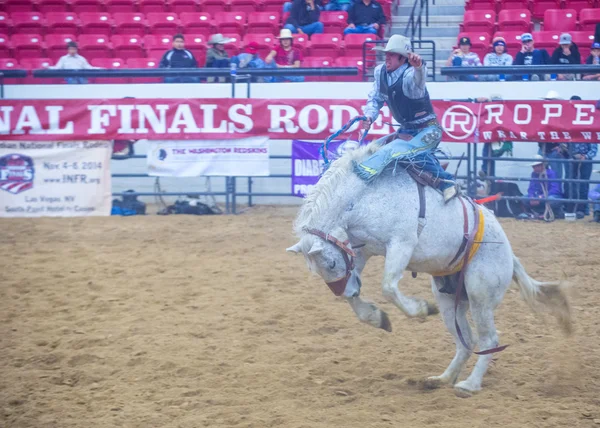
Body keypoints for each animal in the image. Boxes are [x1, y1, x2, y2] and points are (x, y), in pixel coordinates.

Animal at [288, 140, 576, 398]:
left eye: (330, 263)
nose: (350, 290)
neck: (366, 194)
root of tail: (509, 254)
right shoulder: (359, 249)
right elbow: (360, 293)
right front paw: (377, 317)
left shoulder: (401, 243)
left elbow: (388, 287)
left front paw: (419, 309)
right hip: (449, 298)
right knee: (466, 341)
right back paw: (442, 379)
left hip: (481, 295)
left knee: (489, 339)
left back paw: (469, 385)